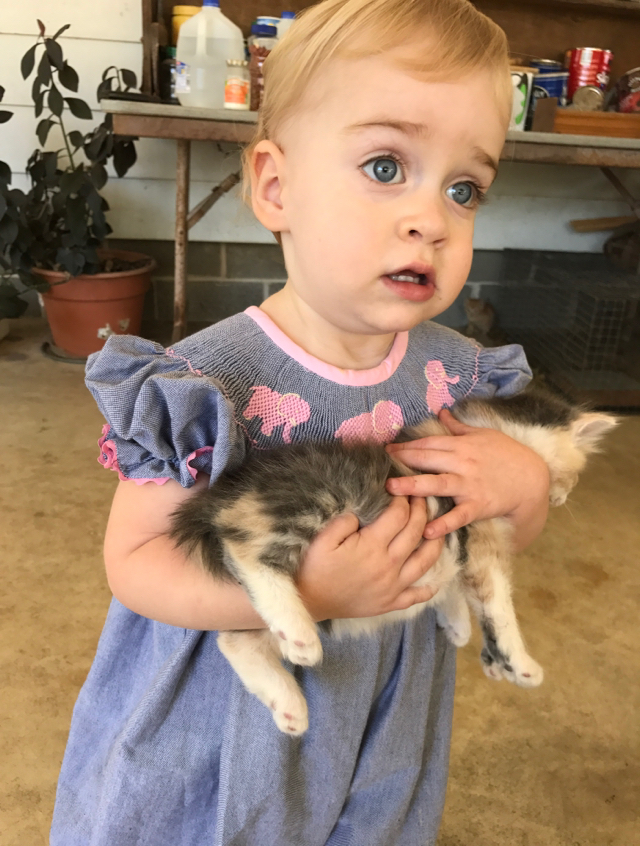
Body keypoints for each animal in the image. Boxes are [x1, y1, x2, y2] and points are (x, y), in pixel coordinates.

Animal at [170, 387, 618, 736]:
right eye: (571, 478)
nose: (559, 497)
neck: (493, 430)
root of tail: (222, 495)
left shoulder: (458, 542)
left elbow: (459, 589)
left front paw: (462, 630)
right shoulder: (480, 537)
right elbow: (501, 610)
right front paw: (520, 664)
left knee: (234, 640)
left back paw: (289, 705)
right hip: (318, 495)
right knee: (246, 547)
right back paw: (301, 637)